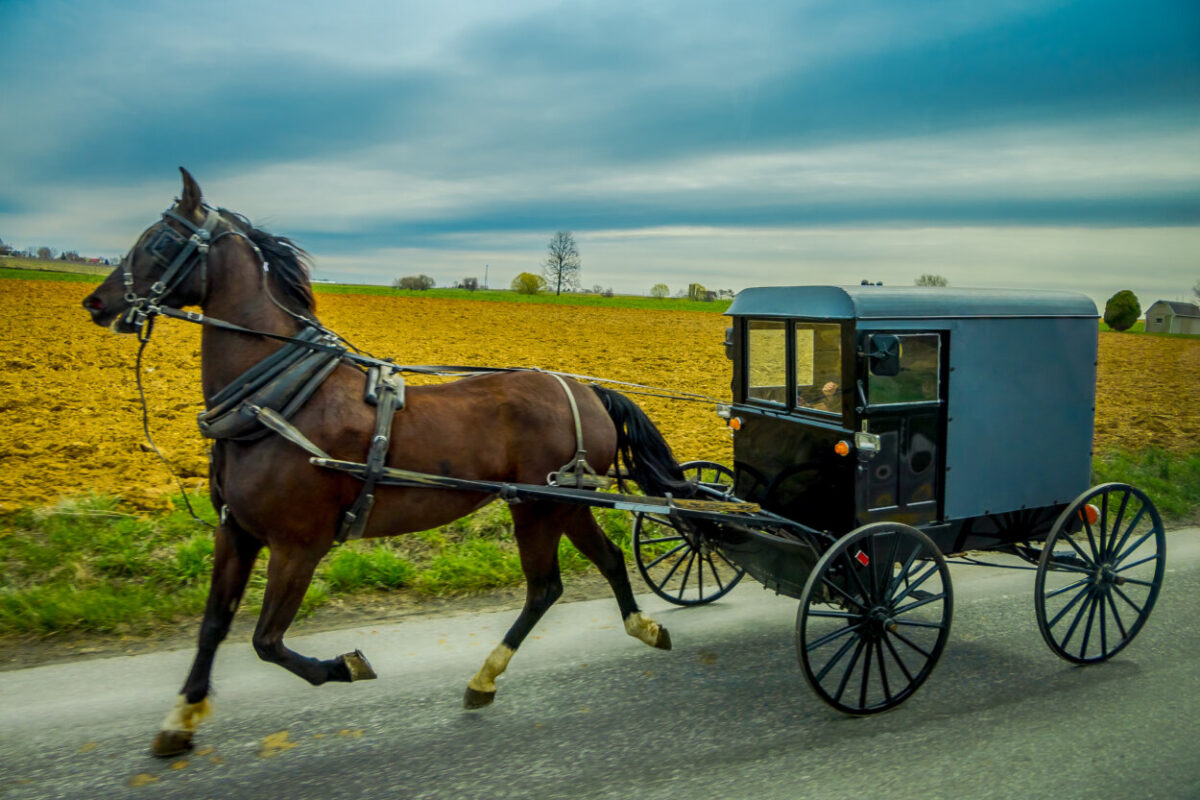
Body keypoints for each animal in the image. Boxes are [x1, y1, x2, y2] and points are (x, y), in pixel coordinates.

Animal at [83, 168, 696, 757]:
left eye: (159, 239)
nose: (97, 304)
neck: (280, 402)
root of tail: (587, 390)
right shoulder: (236, 530)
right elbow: (213, 626)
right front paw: (179, 720)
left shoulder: (298, 546)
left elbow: (266, 641)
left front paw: (345, 666)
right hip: (563, 504)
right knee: (608, 560)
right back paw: (640, 628)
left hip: (539, 509)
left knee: (544, 588)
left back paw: (485, 675)